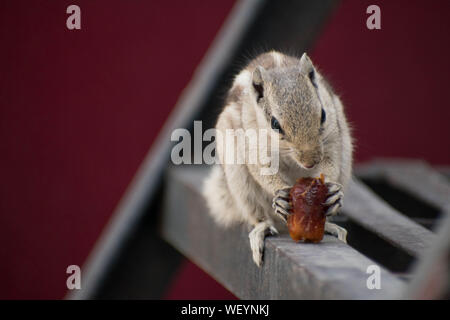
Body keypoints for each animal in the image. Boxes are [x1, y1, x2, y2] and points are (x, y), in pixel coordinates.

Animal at [202, 51, 354, 266]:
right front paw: (279, 192)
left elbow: (330, 162)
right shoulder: (254, 142)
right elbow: (262, 169)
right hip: (239, 182)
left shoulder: (332, 139)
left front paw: (333, 191)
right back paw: (261, 228)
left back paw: (330, 226)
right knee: (257, 214)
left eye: (323, 114)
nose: (310, 163)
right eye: (275, 124)